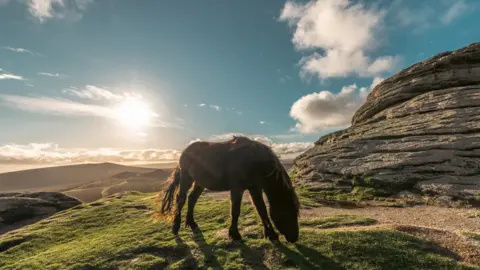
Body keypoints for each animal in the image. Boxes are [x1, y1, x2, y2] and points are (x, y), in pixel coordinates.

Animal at [156, 135, 300, 243]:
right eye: (290, 211)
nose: (294, 238)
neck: (253, 161)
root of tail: (185, 151)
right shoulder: (237, 188)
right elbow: (235, 211)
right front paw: (234, 234)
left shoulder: (255, 188)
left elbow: (262, 210)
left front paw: (271, 235)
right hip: (186, 177)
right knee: (181, 199)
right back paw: (175, 227)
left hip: (200, 182)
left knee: (192, 199)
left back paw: (193, 224)